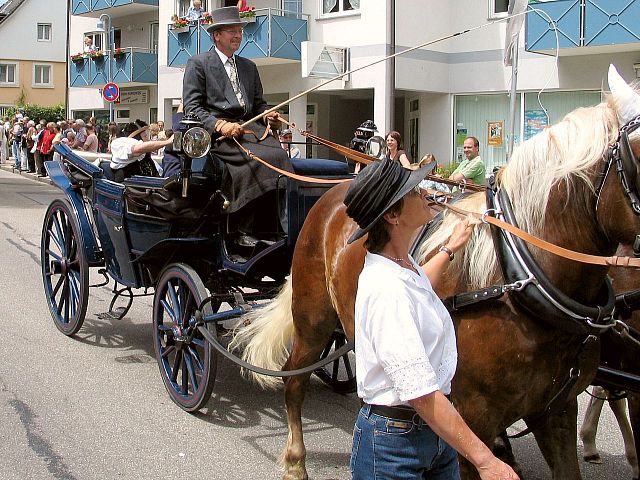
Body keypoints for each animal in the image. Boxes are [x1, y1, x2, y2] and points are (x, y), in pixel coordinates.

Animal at [235, 67, 640, 480]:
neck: (519, 282)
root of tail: (335, 192)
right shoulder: (472, 419)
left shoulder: (556, 411)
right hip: (312, 316)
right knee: (295, 379)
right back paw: (295, 461)